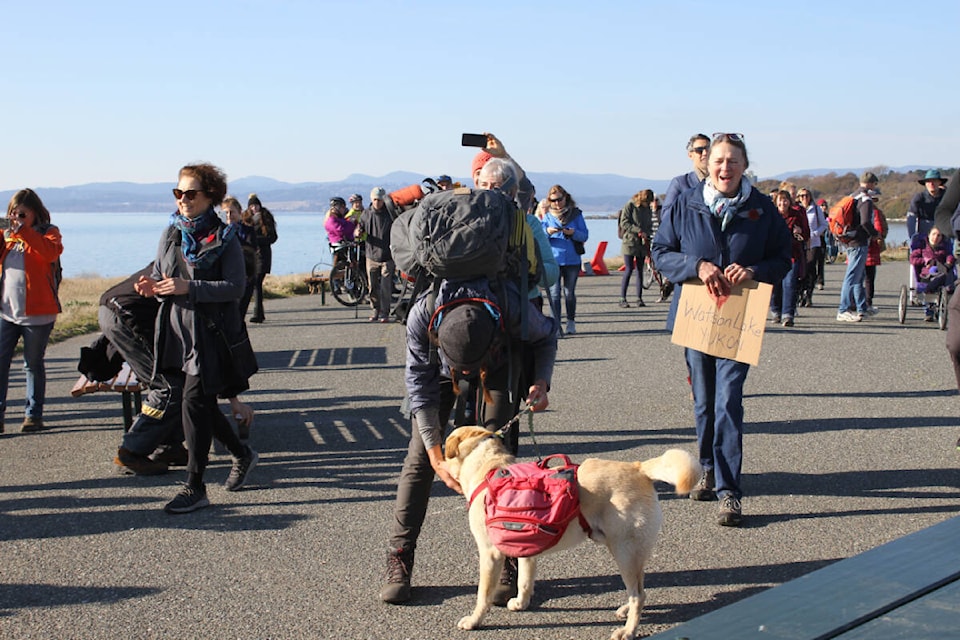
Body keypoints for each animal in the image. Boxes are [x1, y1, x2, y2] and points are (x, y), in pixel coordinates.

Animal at [442, 424, 696, 640]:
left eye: (445, 447)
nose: (437, 458)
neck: (488, 467)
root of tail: (638, 467)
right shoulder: (526, 549)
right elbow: (525, 580)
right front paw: (521, 603)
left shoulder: (490, 553)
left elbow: (482, 595)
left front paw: (474, 620)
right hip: (633, 553)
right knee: (640, 590)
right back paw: (625, 610)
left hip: (624, 551)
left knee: (638, 595)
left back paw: (628, 630)